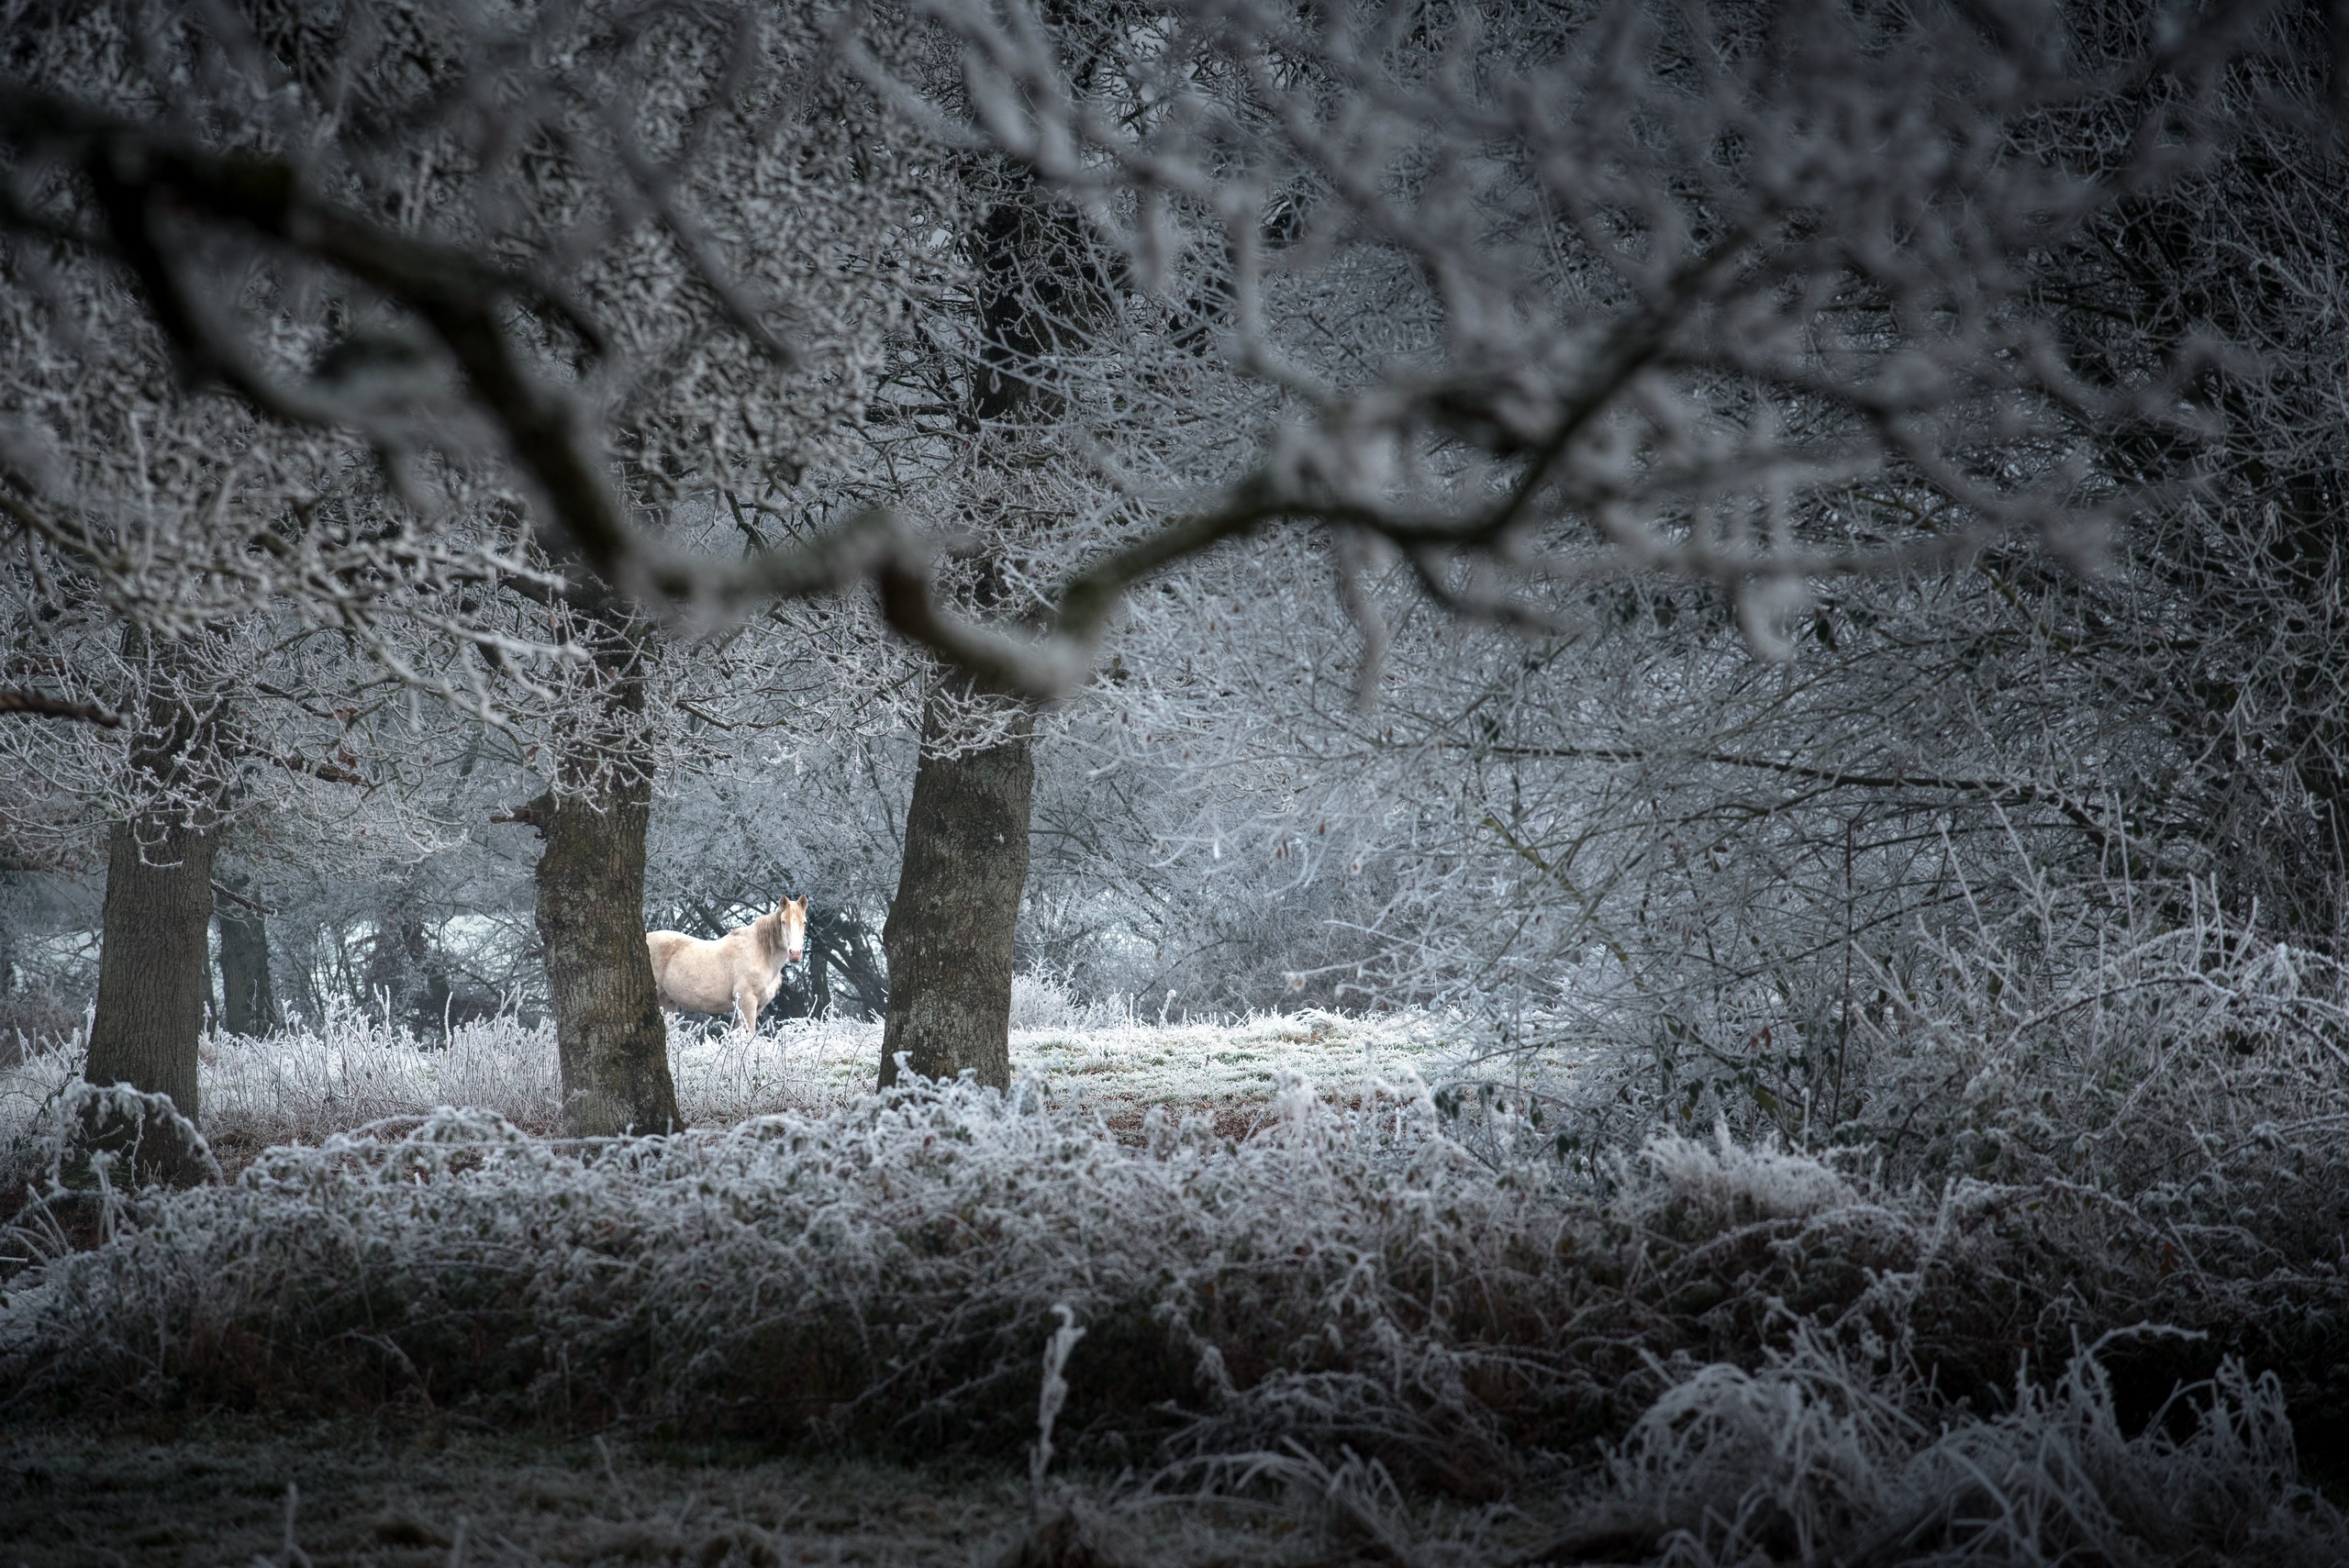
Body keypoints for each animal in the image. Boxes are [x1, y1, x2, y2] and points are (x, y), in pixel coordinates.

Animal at [648, 901, 812, 1032]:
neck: (762, 953)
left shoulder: (756, 1006)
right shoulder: (747, 1001)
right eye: (783, 922)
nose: (795, 953)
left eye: (804, 923)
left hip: (667, 1001)